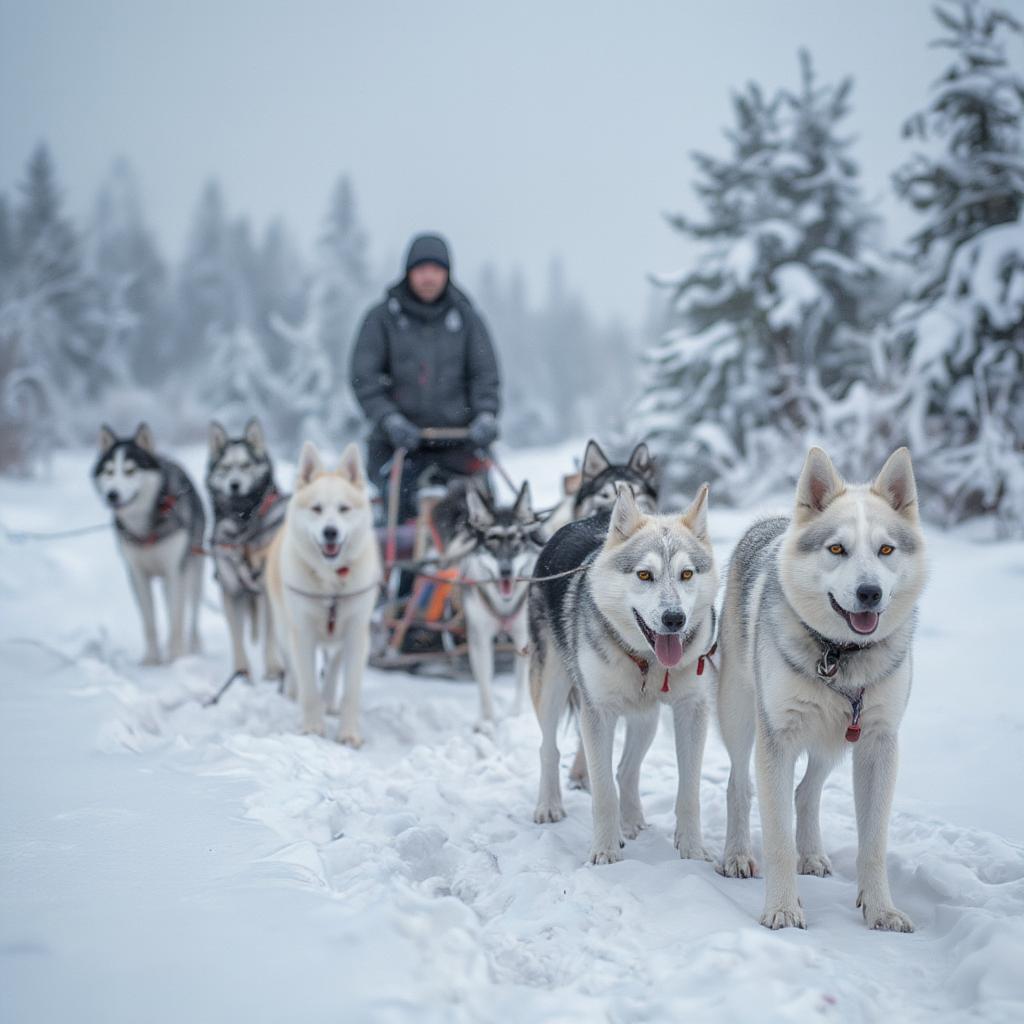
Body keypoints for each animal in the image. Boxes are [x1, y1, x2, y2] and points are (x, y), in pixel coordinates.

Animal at [93, 423, 204, 663]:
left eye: (130, 471)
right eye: (109, 471)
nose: (112, 495)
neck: (146, 529)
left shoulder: (175, 570)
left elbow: (177, 618)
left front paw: (176, 657)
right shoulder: (137, 574)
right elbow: (149, 621)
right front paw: (152, 659)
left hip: (193, 571)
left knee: (191, 612)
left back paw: (193, 647)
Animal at [203, 419, 286, 684]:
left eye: (246, 465)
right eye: (226, 467)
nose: (235, 485)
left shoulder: (266, 590)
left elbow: (270, 636)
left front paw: (273, 669)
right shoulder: (231, 590)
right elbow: (236, 635)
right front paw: (241, 672)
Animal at [264, 440, 380, 745]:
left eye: (343, 509)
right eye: (317, 509)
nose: (330, 532)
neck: (330, 584)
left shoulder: (356, 633)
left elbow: (350, 690)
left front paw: (349, 733)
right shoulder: (302, 632)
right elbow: (308, 685)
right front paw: (312, 727)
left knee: (334, 667)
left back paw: (329, 700)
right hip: (284, 629)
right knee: (295, 672)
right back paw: (295, 694)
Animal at [528, 483, 720, 860]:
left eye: (686, 574)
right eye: (644, 575)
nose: (675, 619)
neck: (646, 660)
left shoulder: (692, 710)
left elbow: (688, 791)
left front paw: (692, 849)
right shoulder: (598, 713)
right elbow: (603, 792)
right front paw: (605, 852)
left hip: (645, 718)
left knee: (627, 770)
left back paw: (631, 822)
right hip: (552, 688)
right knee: (548, 749)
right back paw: (549, 805)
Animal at [720, 444, 929, 933]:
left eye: (885, 549)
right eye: (837, 548)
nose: (869, 592)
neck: (840, 655)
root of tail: (770, 520)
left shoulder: (877, 745)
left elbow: (873, 845)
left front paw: (881, 910)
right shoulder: (776, 740)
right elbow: (777, 838)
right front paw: (781, 909)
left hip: (833, 741)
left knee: (806, 791)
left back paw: (812, 854)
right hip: (740, 721)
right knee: (738, 786)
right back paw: (737, 855)